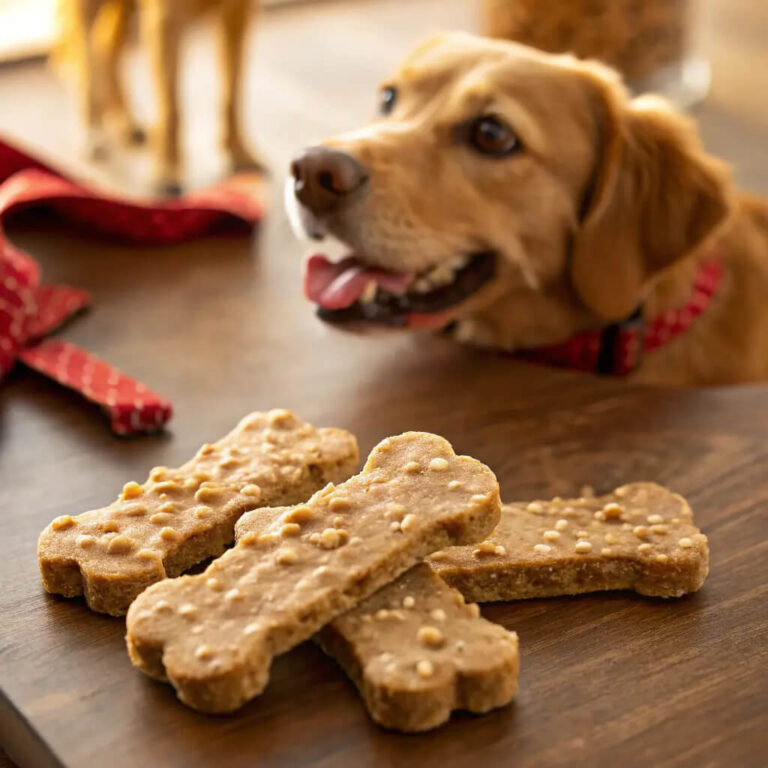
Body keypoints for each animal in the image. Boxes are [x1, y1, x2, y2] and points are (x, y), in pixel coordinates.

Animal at [54, 0, 260, 192]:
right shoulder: (164, 21)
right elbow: (171, 108)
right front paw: (167, 172)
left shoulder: (238, 13)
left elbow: (233, 95)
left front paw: (239, 151)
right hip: (90, 9)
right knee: (88, 56)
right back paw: (93, 131)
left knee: (106, 49)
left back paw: (126, 121)